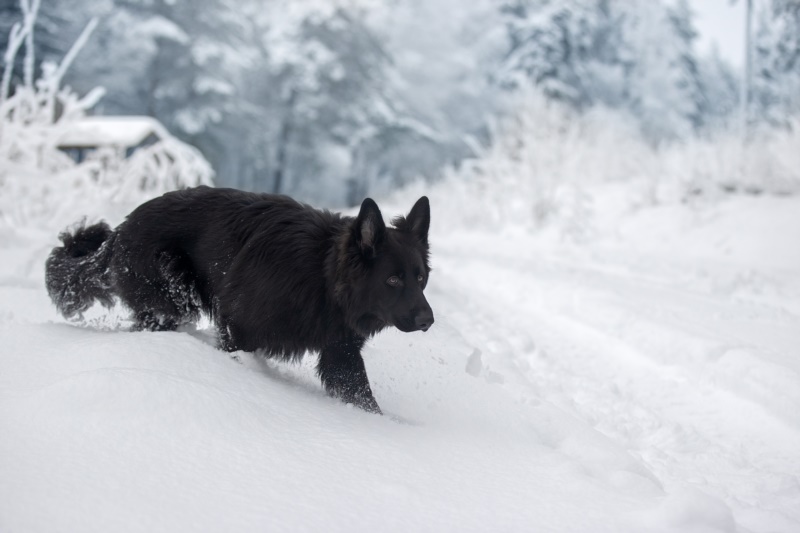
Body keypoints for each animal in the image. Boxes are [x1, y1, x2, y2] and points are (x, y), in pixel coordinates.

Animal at [45, 185, 432, 414]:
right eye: (393, 279)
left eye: (420, 278)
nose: (428, 320)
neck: (321, 276)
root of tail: (119, 233)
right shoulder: (237, 330)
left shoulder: (341, 354)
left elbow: (362, 396)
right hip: (174, 297)